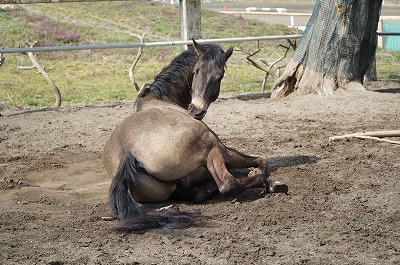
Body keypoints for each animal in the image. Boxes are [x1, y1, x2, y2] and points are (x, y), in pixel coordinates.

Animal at [101, 39, 286, 231]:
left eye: (219, 76)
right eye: (196, 71)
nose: (197, 110)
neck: (161, 99)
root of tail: (127, 152)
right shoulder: (224, 149)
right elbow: (261, 161)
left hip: (169, 188)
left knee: (198, 193)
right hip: (213, 148)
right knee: (227, 183)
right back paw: (268, 183)